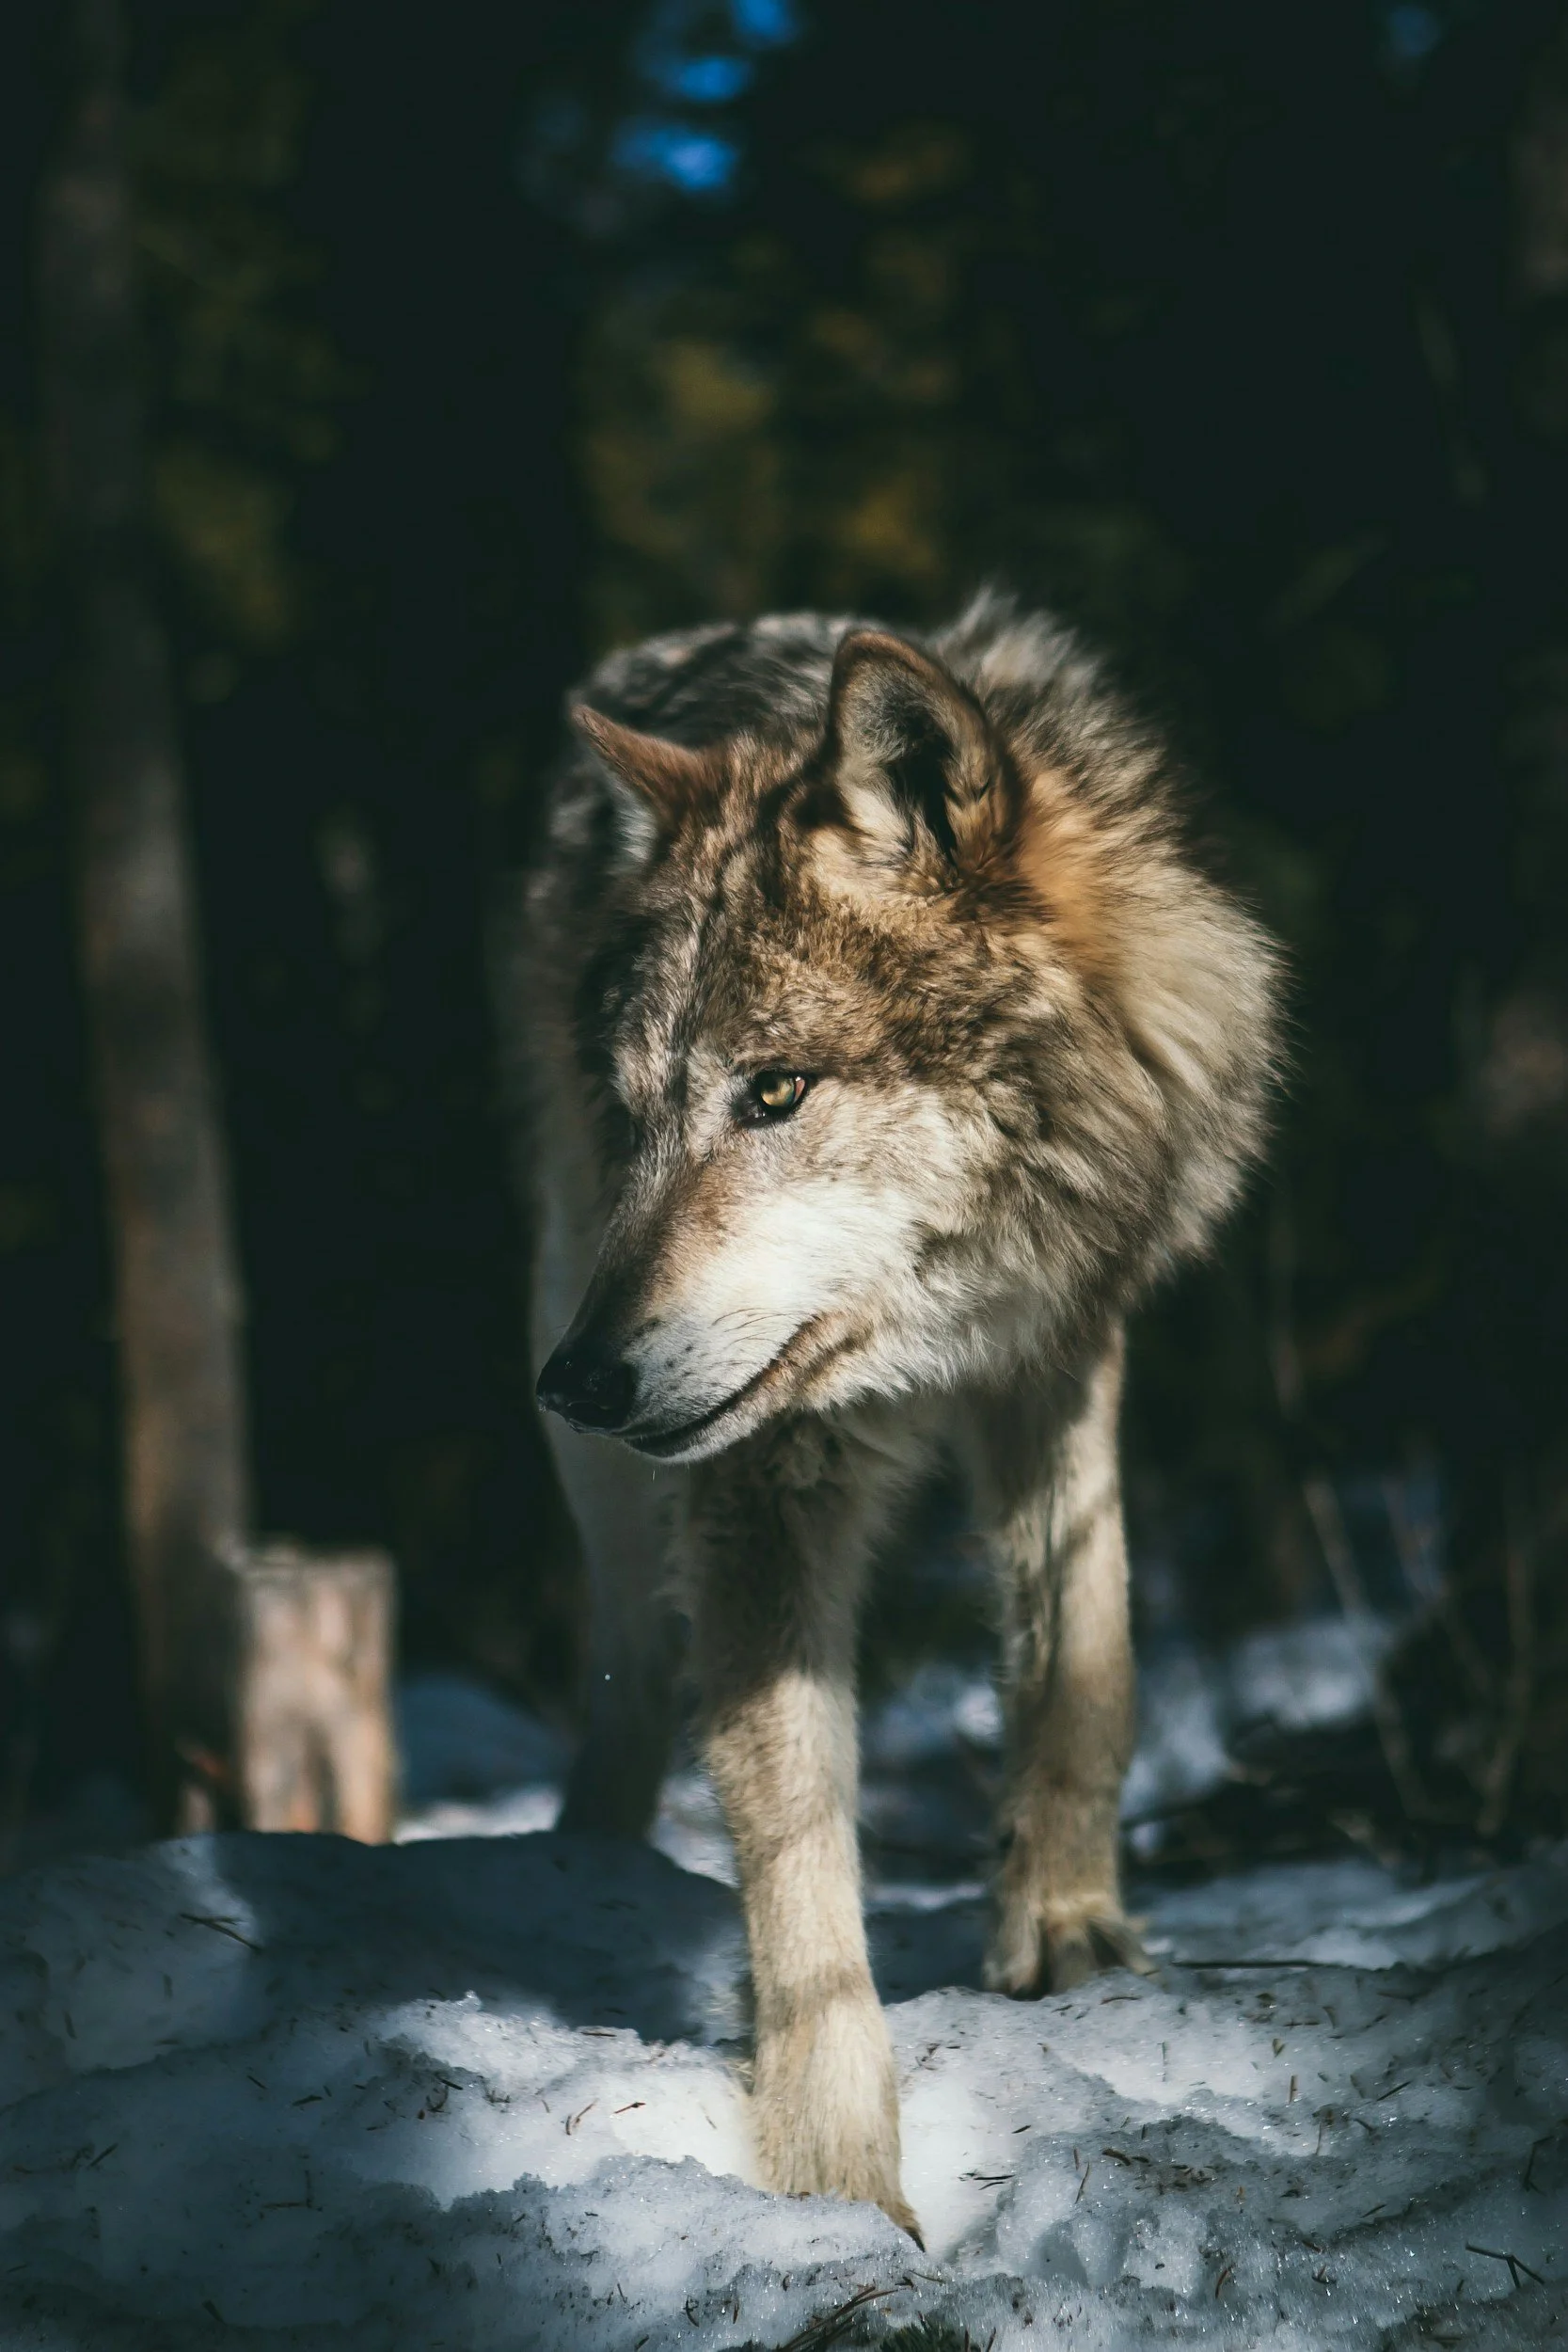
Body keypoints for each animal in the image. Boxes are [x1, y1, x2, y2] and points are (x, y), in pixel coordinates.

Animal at [512, 592, 1282, 2239]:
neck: (934, 1323)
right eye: (639, 1114)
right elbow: (794, 1845)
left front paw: (1063, 1931)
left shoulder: (1061, 1345)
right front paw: (835, 2187)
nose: (577, 1380)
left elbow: (1085, 1661)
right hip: (568, 1334)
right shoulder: (759, 1473)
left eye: (773, 1091)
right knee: (627, 1670)